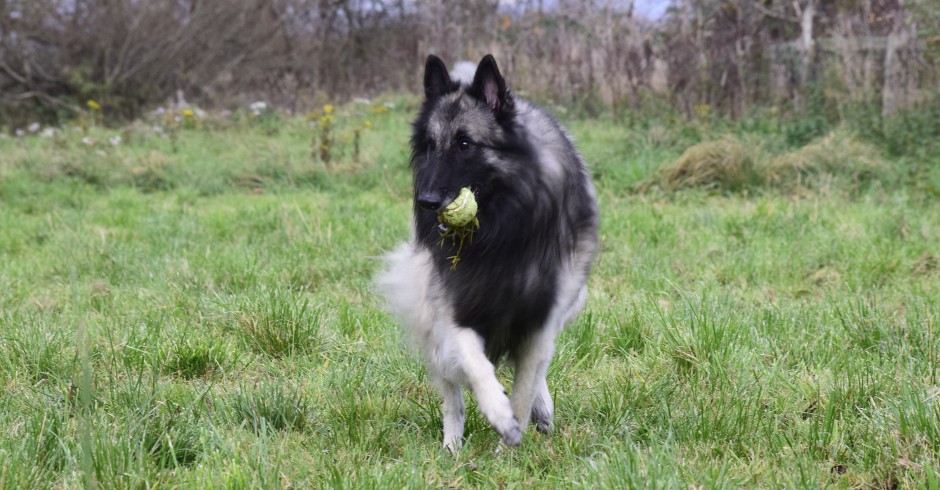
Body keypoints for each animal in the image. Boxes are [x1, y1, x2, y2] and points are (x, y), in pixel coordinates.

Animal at [374, 54, 596, 452]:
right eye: (430, 145)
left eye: (464, 143)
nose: (426, 202)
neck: (498, 235)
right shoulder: (456, 312)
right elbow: (476, 367)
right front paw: (498, 414)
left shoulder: (541, 320)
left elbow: (524, 388)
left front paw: (507, 445)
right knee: (452, 393)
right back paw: (452, 445)